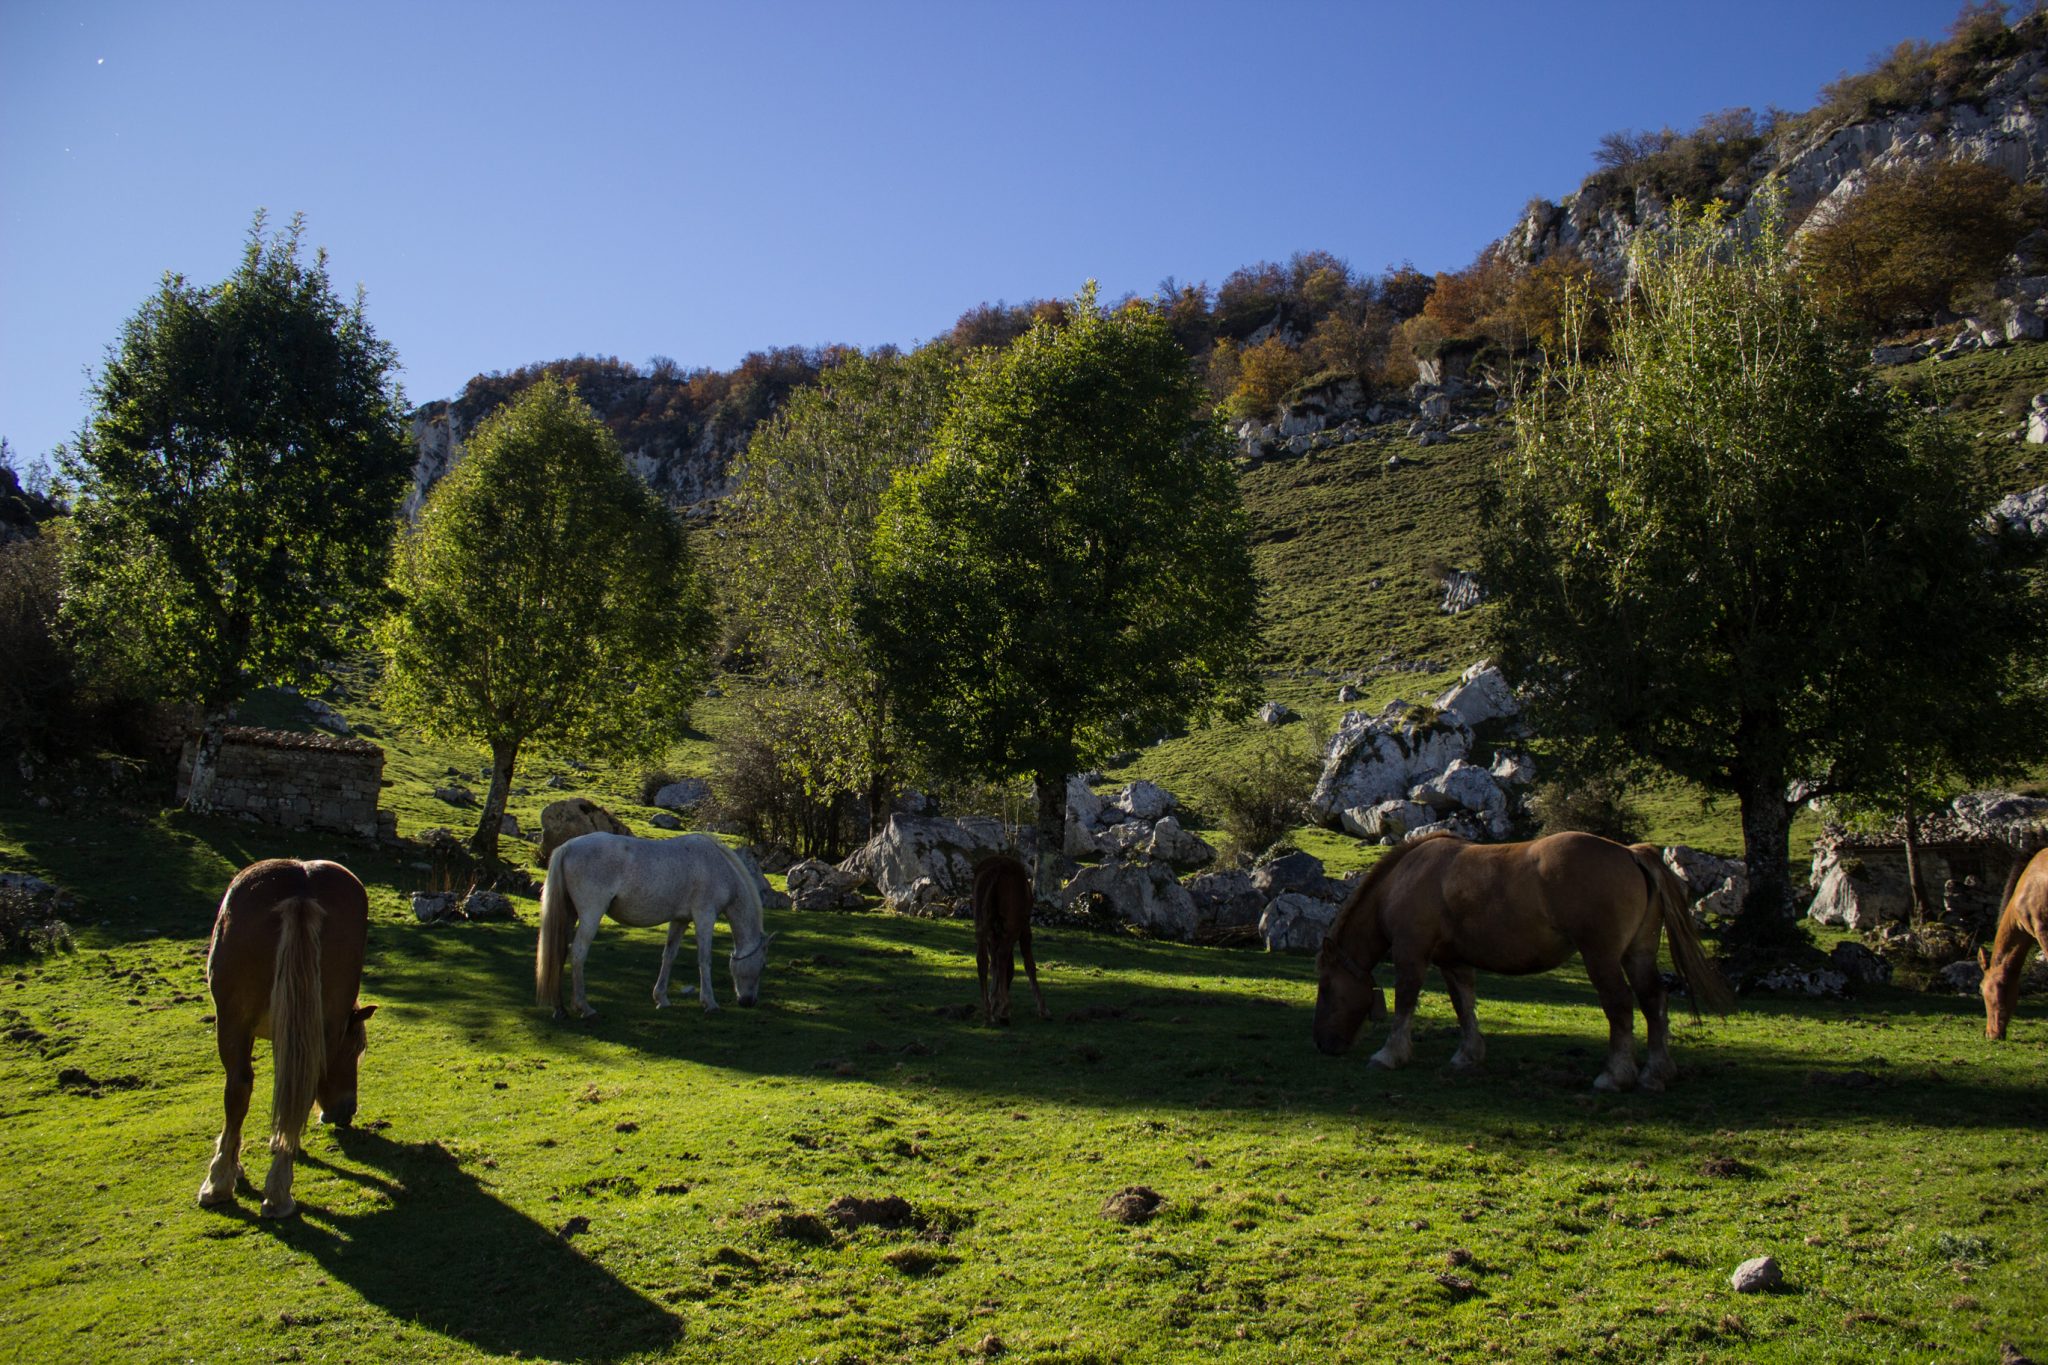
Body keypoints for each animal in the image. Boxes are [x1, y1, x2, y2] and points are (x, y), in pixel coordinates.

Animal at [198, 859, 376, 1218]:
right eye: (354, 1050)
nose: (347, 1111)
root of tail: (301, 889)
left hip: (235, 1021)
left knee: (241, 1087)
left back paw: (243, 1185)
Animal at [536, 832, 775, 1018]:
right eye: (763, 965)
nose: (749, 1001)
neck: (718, 866)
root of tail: (567, 847)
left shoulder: (680, 920)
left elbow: (669, 956)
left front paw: (661, 998)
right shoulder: (705, 917)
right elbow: (704, 959)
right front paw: (710, 1003)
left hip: (570, 915)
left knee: (559, 953)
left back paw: (560, 1009)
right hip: (591, 915)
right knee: (578, 953)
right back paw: (584, 1007)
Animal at [973, 854, 1049, 1025]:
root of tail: (996, 871)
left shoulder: (994, 933)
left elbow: (994, 965)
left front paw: (994, 1001)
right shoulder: (1024, 927)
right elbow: (1028, 964)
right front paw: (1042, 1008)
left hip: (981, 920)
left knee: (982, 959)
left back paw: (987, 1011)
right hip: (1013, 923)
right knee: (1002, 956)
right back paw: (1004, 1010)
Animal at [1312, 831, 1735, 1091]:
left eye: (1326, 985)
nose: (1323, 1044)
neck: (1405, 879)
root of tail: (1631, 854)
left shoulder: (1411, 954)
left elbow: (1405, 1003)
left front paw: (1389, 1055)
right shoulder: (1454, 961)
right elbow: (1464, 1005)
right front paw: (1467, 1056)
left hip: (1601, 956)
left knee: (1619, 1005)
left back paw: (1614, 1076)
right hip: (1639, 953)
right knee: (1653, 1001)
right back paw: (1655, 1072)